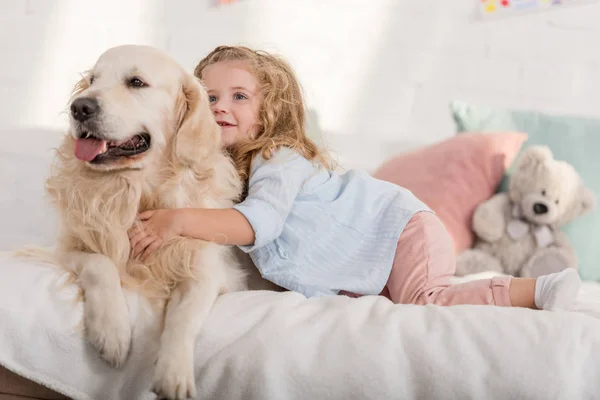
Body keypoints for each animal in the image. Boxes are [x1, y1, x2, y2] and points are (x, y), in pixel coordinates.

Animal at [41, 45, 248, 398]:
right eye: (93, 80)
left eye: (136, 82)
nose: (79, 107)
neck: (138, 189)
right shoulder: (67, 247)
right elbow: (100, 264)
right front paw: (112, 332)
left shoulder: (207, 271)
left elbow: (183, 319)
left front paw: (173, 373)